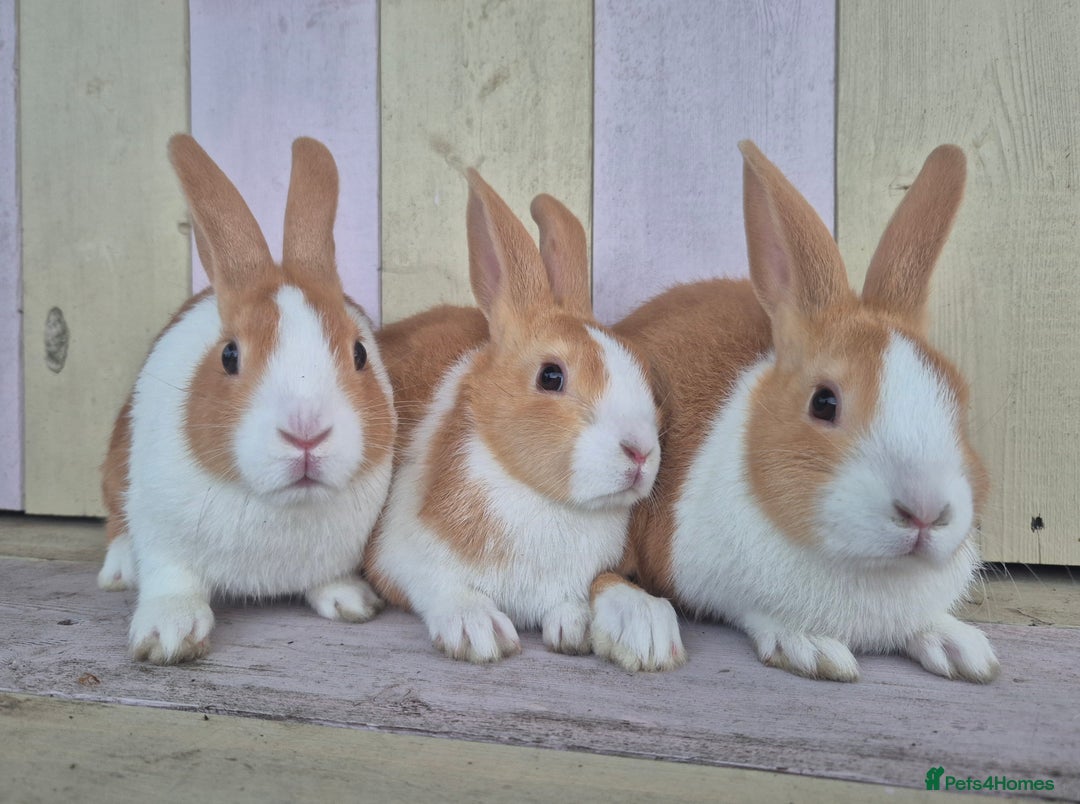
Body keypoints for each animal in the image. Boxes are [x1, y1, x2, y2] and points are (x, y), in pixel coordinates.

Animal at [97, 134, 397, 664]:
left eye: (360, 352)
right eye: (230, 355)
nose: (306, 433)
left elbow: (329, 579)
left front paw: (353, 602)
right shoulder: (163, 538)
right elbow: (173, 581)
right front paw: (169, 635)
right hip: (117, 466)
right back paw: (118, 571)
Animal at [364, 170, 686, 671]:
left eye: (645, 371)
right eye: (551, 376)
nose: (640, 453)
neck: (543, 499)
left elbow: (585, 595)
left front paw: (582, 627)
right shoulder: (400, 551)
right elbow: (440, 585)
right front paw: (478, 631)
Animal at [612, 141, 999, 683]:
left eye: (959, 403)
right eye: (824, 402)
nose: (926, 513)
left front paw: (963, 648)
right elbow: (757, 611)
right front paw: (812, 647)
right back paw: (643, 626)